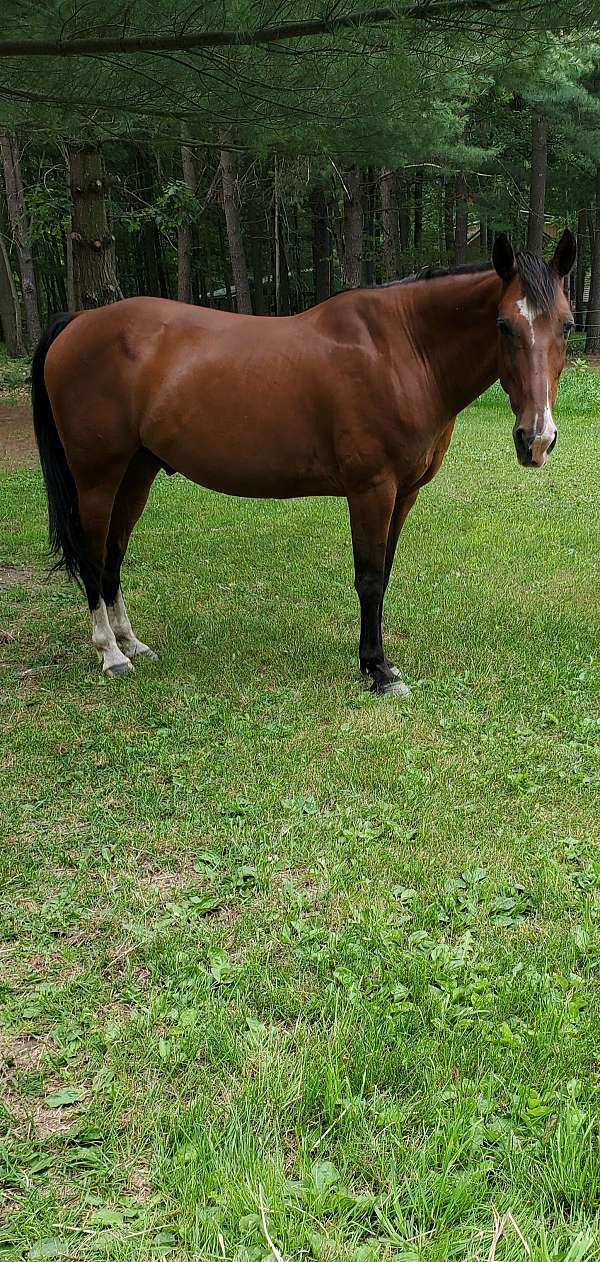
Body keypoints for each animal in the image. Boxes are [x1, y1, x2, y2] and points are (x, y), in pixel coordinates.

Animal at [31, 232, 578, 696]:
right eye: (504, 325)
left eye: (567, 325)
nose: (537, 438)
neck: (402, 350)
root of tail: (77, 321)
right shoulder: (371, 490)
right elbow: (369, 578)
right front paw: (378, 670)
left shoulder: (405, 493)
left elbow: (385, 573)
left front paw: (377, 662)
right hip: (97, 478)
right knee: (93, 555)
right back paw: (110, 654)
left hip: (136, 473)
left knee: (114, 555)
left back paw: (132, 644)